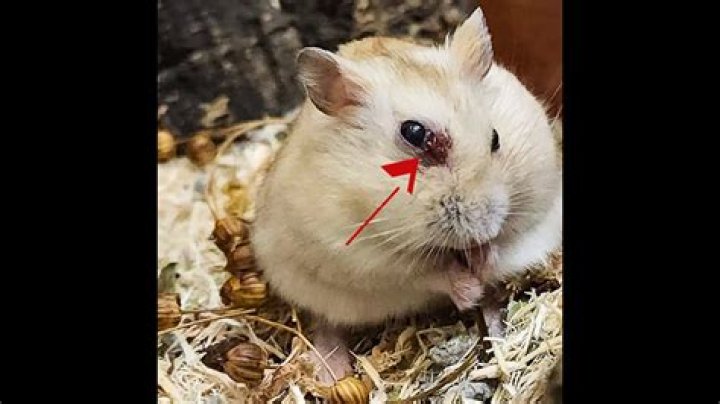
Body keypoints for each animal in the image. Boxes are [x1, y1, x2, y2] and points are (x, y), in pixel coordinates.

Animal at [251, 7, 561, 383]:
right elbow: (427, 273)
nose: (486, 227)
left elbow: (503, 245)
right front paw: (468, 288)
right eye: (415, 134)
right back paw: (331, 372)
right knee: (329, 323)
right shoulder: (365, 258)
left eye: (496, 138)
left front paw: (482, 259)